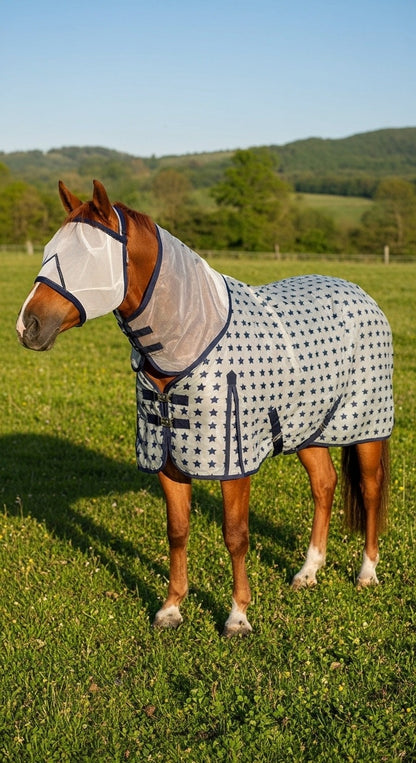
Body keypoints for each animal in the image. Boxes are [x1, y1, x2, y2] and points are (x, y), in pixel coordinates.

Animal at [16, 180, 394, 636]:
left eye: (88, 258)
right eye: (48, 249)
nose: (27, 326)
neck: (189, 343)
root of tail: (360, 294)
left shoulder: (233, 461)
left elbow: (236, 535)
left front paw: (237, 616)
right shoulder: (168, 458)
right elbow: (177, 531)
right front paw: (171, 608)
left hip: (367, 428)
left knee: (370, 491)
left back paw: (367, 573)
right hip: (308, 429)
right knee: (324, 485)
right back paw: (308, 572)